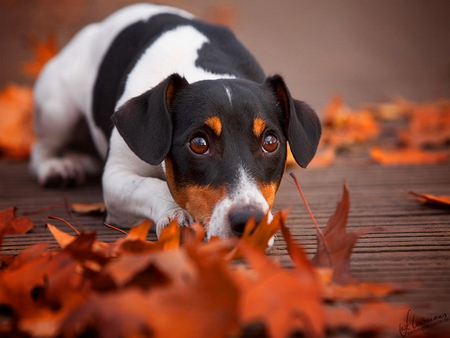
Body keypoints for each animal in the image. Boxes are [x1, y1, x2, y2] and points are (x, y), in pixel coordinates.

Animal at [29, 3, 322, 240]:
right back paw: (57, 168)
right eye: (199, 144)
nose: (248, 221)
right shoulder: (115, 178)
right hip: (58, 110)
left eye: (271, 142)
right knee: (41, 147)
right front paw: (173, 215)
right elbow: (153, 185)